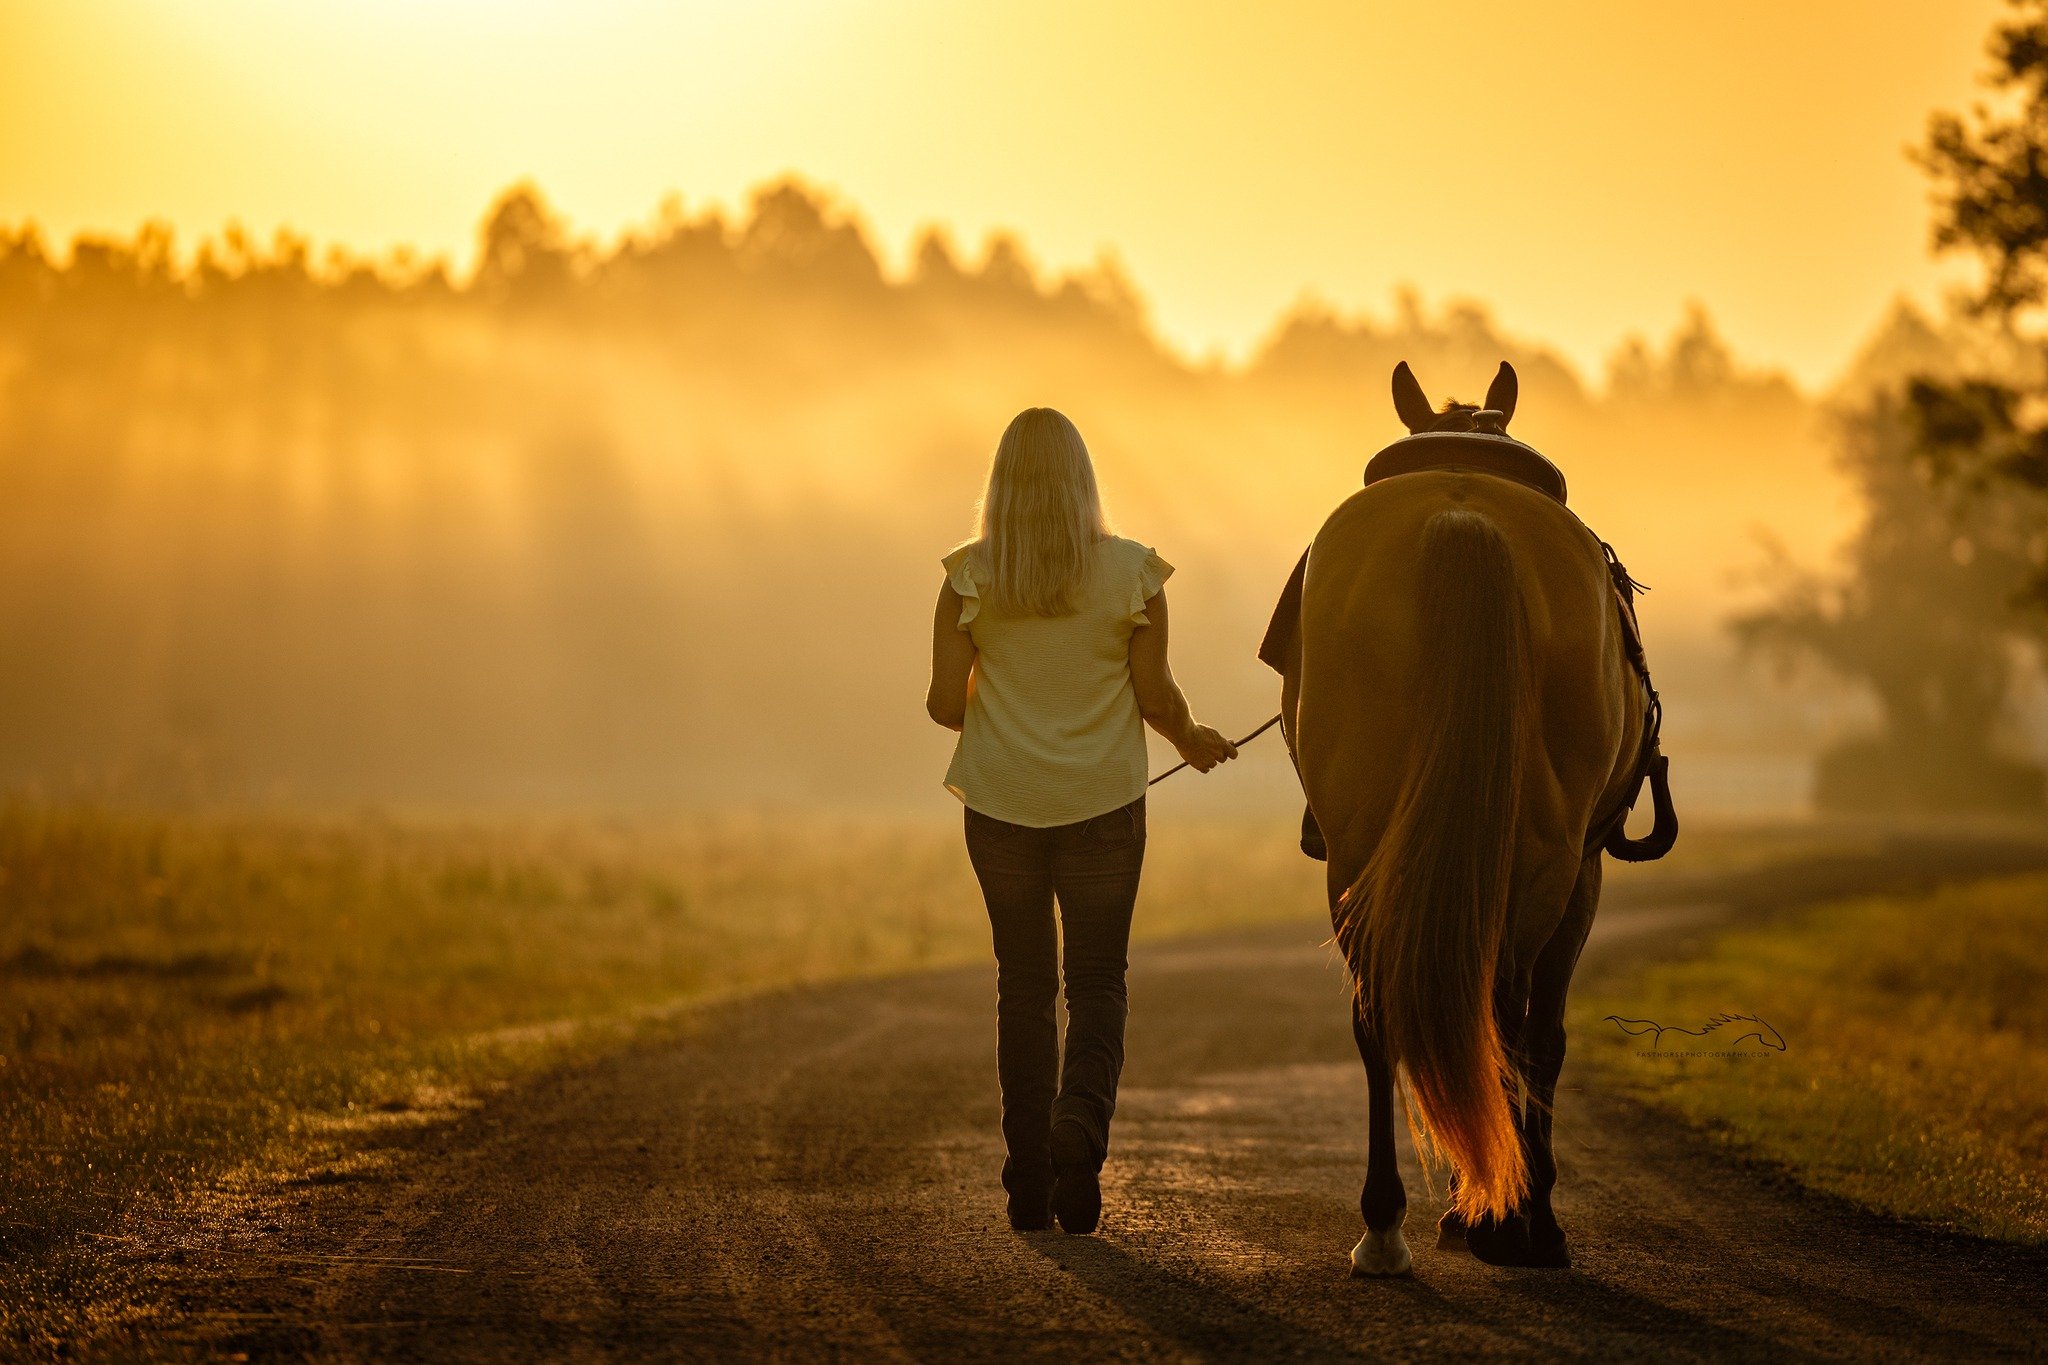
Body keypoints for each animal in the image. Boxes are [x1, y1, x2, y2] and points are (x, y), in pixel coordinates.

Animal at [1269, 366, 1671, 1285]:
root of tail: (1464, 518)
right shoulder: (1584, 870)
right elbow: (1544, 1033)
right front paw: (1507, 1211)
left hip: (1359, 848)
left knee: (1380, 1011)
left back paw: (1385, 1227)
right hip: (1548, 857)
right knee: (1510, 1019)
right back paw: (1516, 1222)